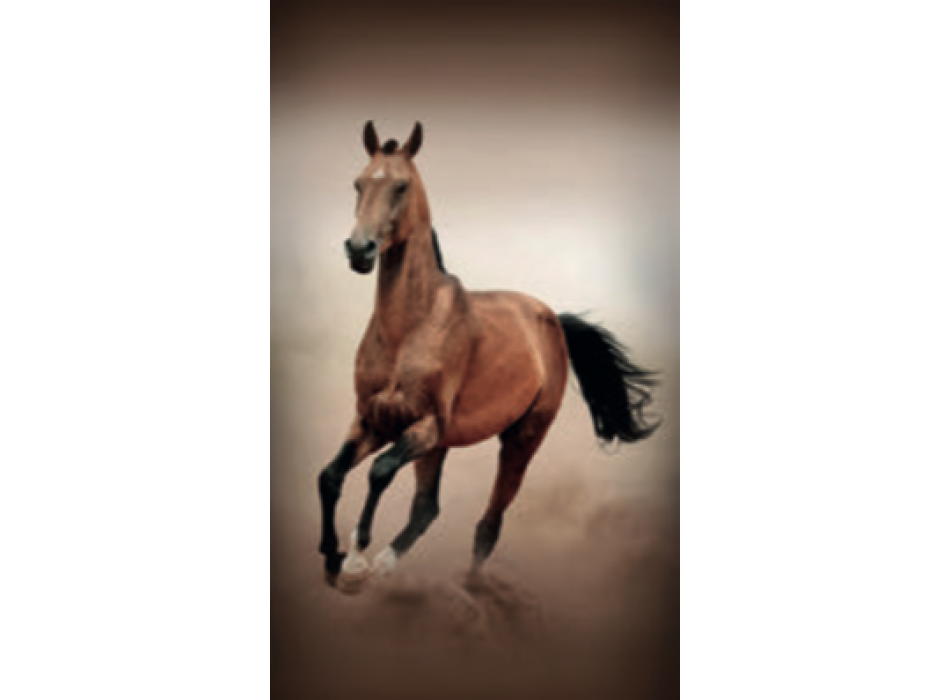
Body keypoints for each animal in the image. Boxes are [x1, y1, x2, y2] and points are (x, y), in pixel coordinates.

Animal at [317, 121, 659, 591]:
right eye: (359, 183)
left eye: (401, 186)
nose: (359, 250)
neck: (409, 329)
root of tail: (551, 319)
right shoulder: (374, 419)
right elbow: (331, 476)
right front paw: (333, 556)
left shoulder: (424, 425)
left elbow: (380, 471)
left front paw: (356, 557)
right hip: (441, 445)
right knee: (426, 508)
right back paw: (389, 566)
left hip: (520, 439)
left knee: (488, 524)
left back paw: (468, 586)